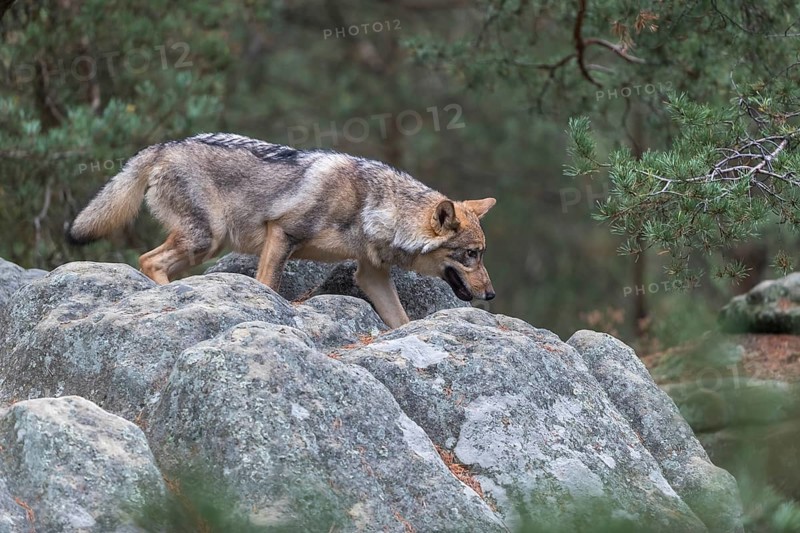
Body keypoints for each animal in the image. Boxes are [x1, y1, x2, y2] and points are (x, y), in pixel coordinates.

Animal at [68, 133, 496, 328]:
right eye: (470, 255)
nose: (491, 294)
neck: (372, 206)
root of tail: (163, 146)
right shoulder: (282, 234)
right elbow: (268, 287)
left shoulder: (371, 275)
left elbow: (402, 321)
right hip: (206, 239)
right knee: (148, 259)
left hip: (206, 244)